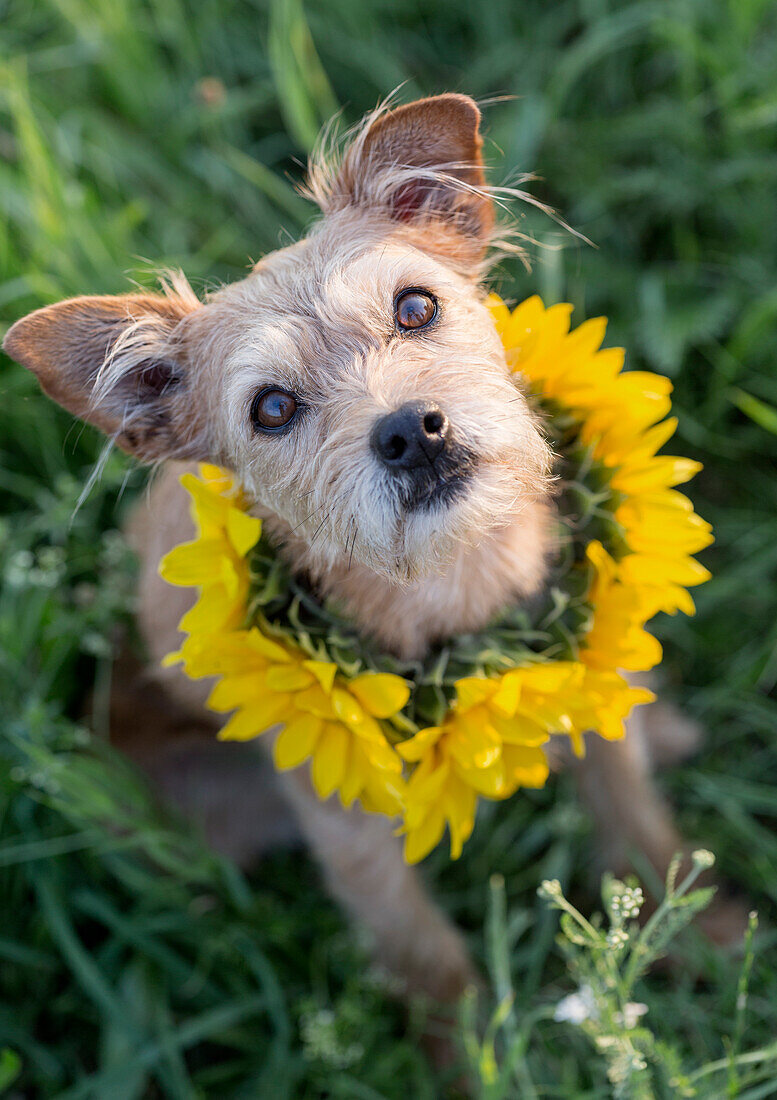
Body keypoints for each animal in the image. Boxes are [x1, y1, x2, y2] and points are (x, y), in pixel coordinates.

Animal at [1, 94, 730, 1012]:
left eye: (415, 308)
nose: (411, 431)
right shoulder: (340, 816)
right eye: (272, 408)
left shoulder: (582, 679)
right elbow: (423, 952)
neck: (450, 581)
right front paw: (471, 1045)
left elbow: (634, 821)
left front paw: (707, 937)